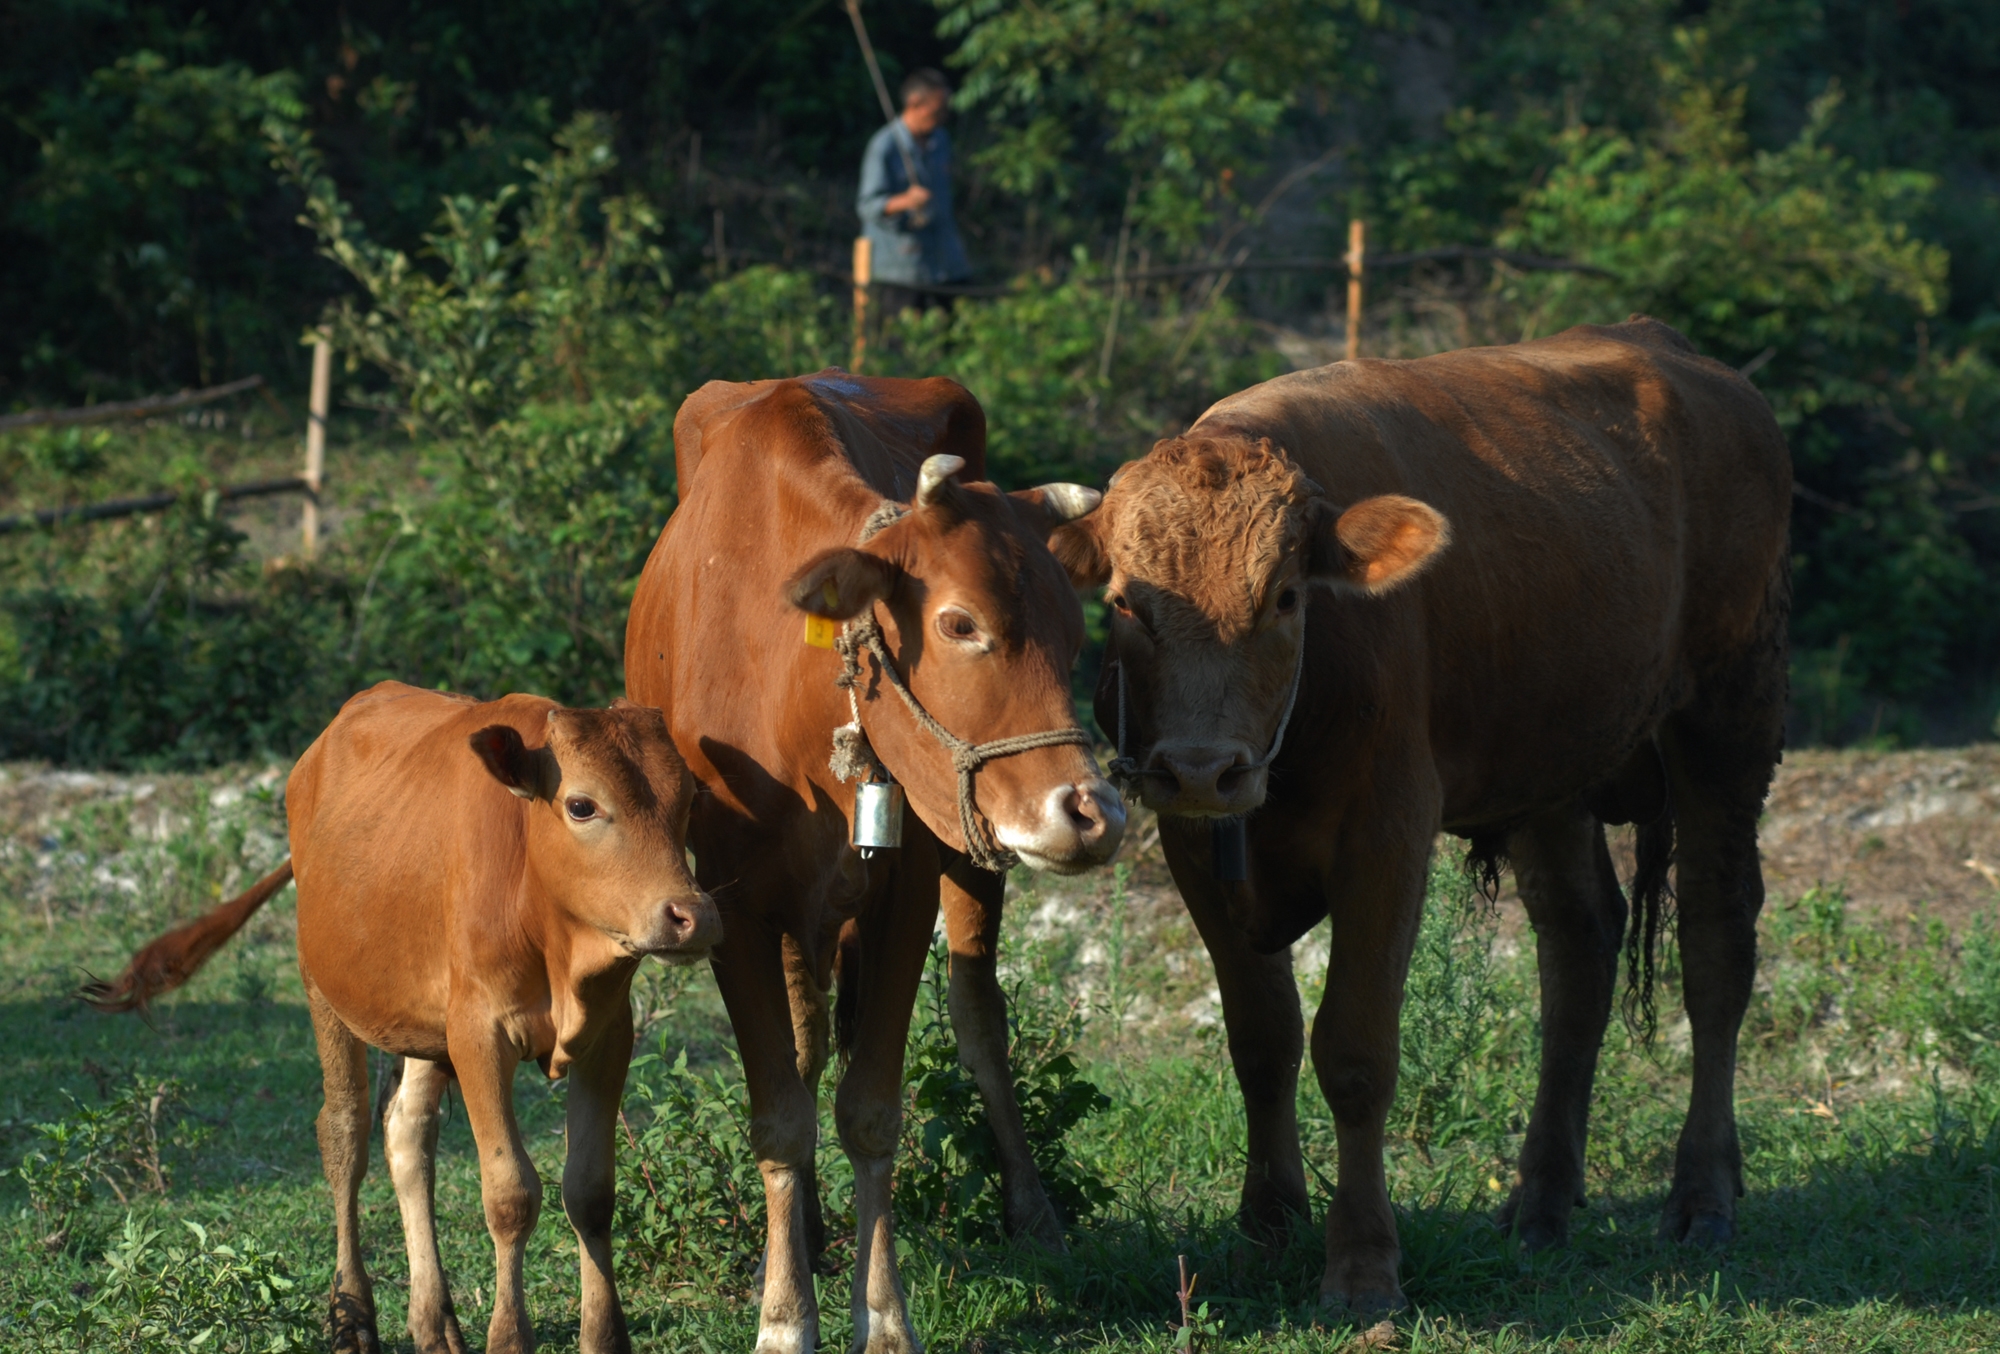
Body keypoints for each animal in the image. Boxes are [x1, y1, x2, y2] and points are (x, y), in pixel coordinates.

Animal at [90, 680, 728, 1352]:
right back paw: (351, 1315)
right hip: (325, 987)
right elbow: (510, 1195)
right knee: (344, 1134)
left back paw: (434, 1319)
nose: (693, 915)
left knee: (407, 1132)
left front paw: (603, 1337)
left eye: (690, 798)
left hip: (424, 1028)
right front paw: (508, 1336)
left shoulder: (608, 1034)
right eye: (581, 805)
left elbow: (590, 1193)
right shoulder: (479, 1033)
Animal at [624, 370, 1128, 1352]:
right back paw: (805, 1234)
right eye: (961, 623)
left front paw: (884, 1312)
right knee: (808, 1042)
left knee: (977, 1020)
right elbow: (781, 1111)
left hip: (966, 857)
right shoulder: (735, 907)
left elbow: (870, 1108)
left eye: (1073, 634)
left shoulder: (907, 889)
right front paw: (785, 1313)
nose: (1092, 813)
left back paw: (1033, 1213)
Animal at [1056, 316, 1792, 1312]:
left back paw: (1701, 1195)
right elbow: (1263, 1039)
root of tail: (1675, 349)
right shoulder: (1195, 846)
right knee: (1580, 945)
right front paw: (1266, 1228)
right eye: (1126, 601)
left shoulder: (1388, 831)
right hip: (1550, 763)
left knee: (1716, 943)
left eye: (1284, 596)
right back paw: (1539, 1203)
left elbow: (1355, 1051)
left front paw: (1364, 1268)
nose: (1205, 768)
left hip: (1728, 716)